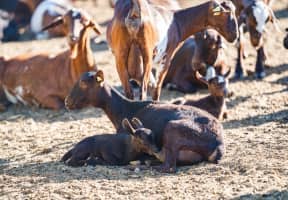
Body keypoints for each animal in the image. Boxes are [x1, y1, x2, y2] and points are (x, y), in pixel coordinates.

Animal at [64, 70, 224, 172]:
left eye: (84, 83)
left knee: (169, 166)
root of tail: (218, 144)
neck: (123, 109)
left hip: (172, 129)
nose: (67, 102)